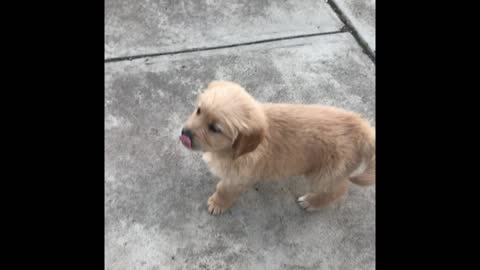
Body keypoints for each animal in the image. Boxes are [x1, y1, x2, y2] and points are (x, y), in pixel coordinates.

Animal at [180, 80, 376, 215]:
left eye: (215, 128)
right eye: (199, 110)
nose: (184, 134)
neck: (232, 150)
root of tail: (360, 126)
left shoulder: (236, 178)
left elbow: (224, 189)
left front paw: (217, 204)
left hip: (324, 173)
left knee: (338, 190)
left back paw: (312, 202)